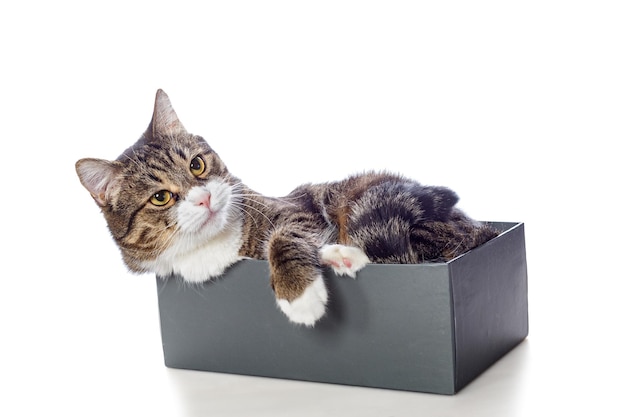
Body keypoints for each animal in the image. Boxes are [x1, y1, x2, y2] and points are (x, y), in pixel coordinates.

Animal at [77, 89, 498, 326]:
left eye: (197, 165)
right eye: (160, 197)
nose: (205, 197)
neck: (212, 250)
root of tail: (487, 230)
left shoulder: (296, 210)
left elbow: (285, 236)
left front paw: (299, 294)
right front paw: (331, 262)